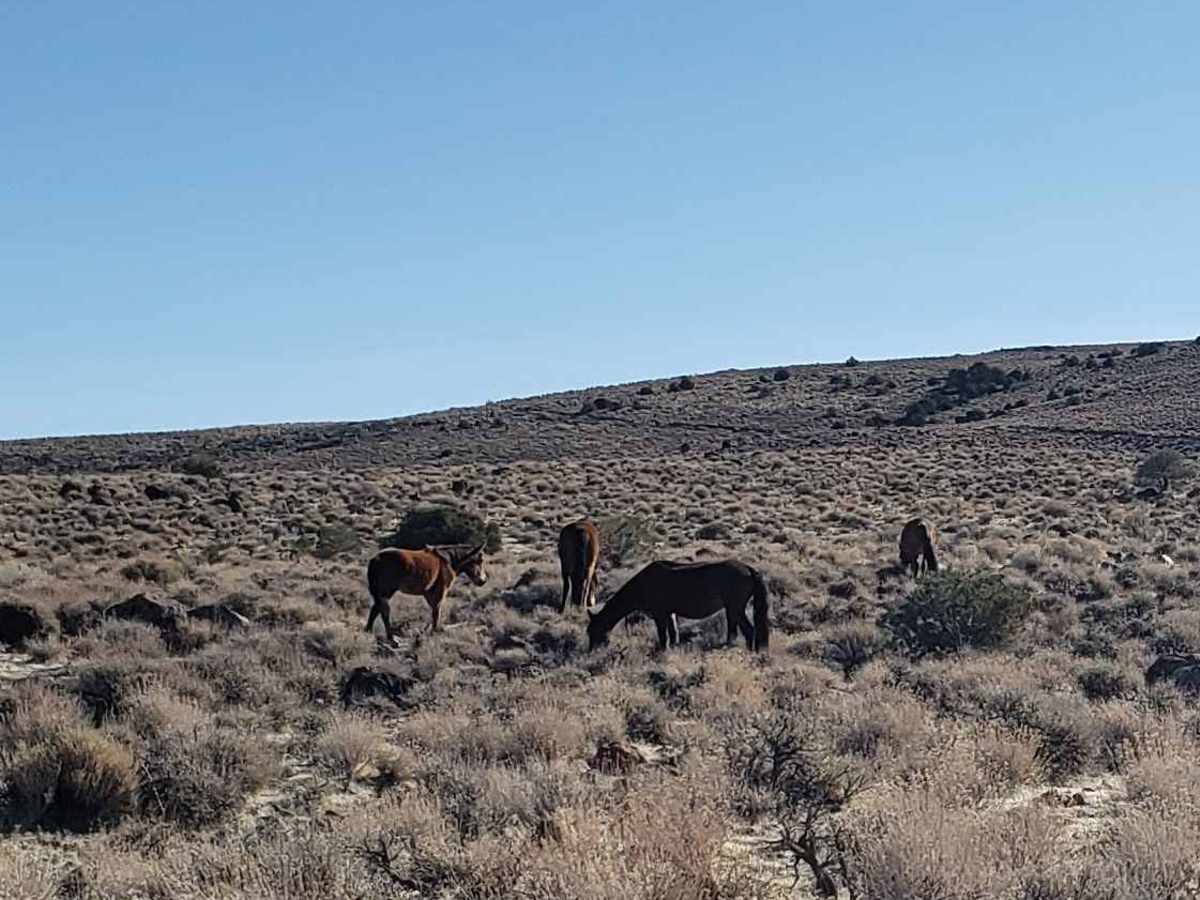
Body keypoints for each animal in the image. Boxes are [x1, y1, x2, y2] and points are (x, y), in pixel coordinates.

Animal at [586, 559, 769, 653]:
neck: (643, 584)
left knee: (748, 630)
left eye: (594, 631)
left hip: (735, 608)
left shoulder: (660, 615)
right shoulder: (670, 613)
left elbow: (663, 635)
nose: (591, 652)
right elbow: (673, 633)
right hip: (733, 609)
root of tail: (748, 568)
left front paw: (662, 652)